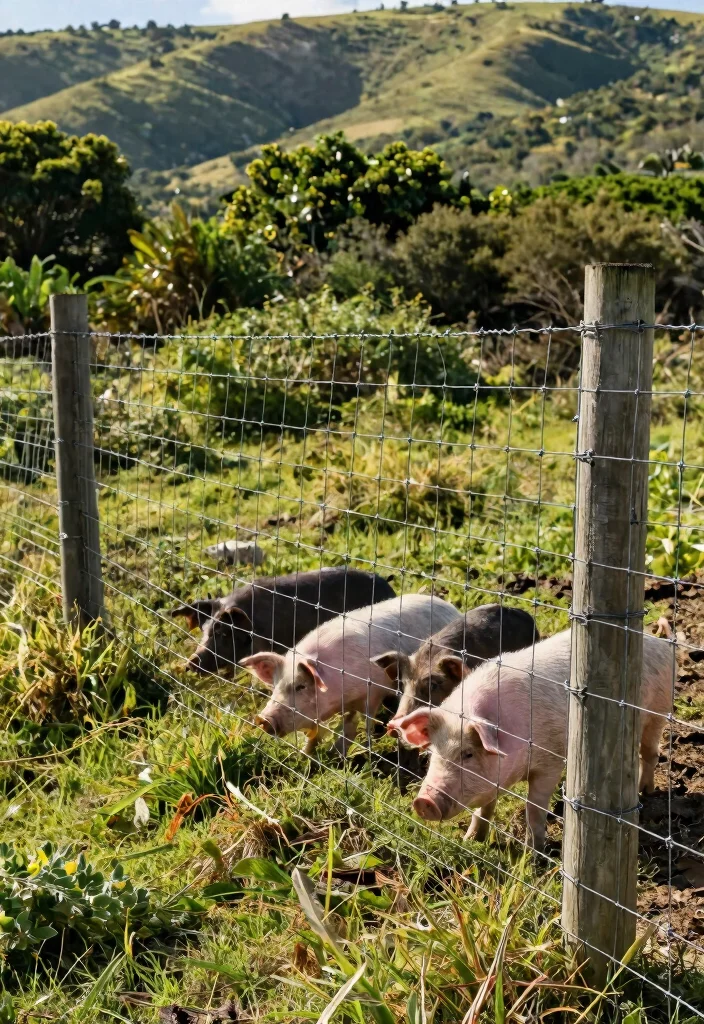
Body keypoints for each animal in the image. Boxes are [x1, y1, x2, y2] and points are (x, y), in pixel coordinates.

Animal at [240, 594, 461, 755]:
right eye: (275, 686)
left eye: (300, 686)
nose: (263, 719)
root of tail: (450, 606)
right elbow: (326, 729)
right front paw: (307, 754)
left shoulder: (374, 690)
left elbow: (366, 720)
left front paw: (365, 749)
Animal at [396, 628, 673, 851]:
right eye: (434, 753)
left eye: (468, 753)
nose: (423, 802)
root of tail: (657, 642)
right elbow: (484, 808)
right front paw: (471, 840)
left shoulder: (550, 762)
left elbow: (534, 809)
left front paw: (534, 853)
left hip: (657, 712)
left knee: (649, 752)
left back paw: (644, 791)